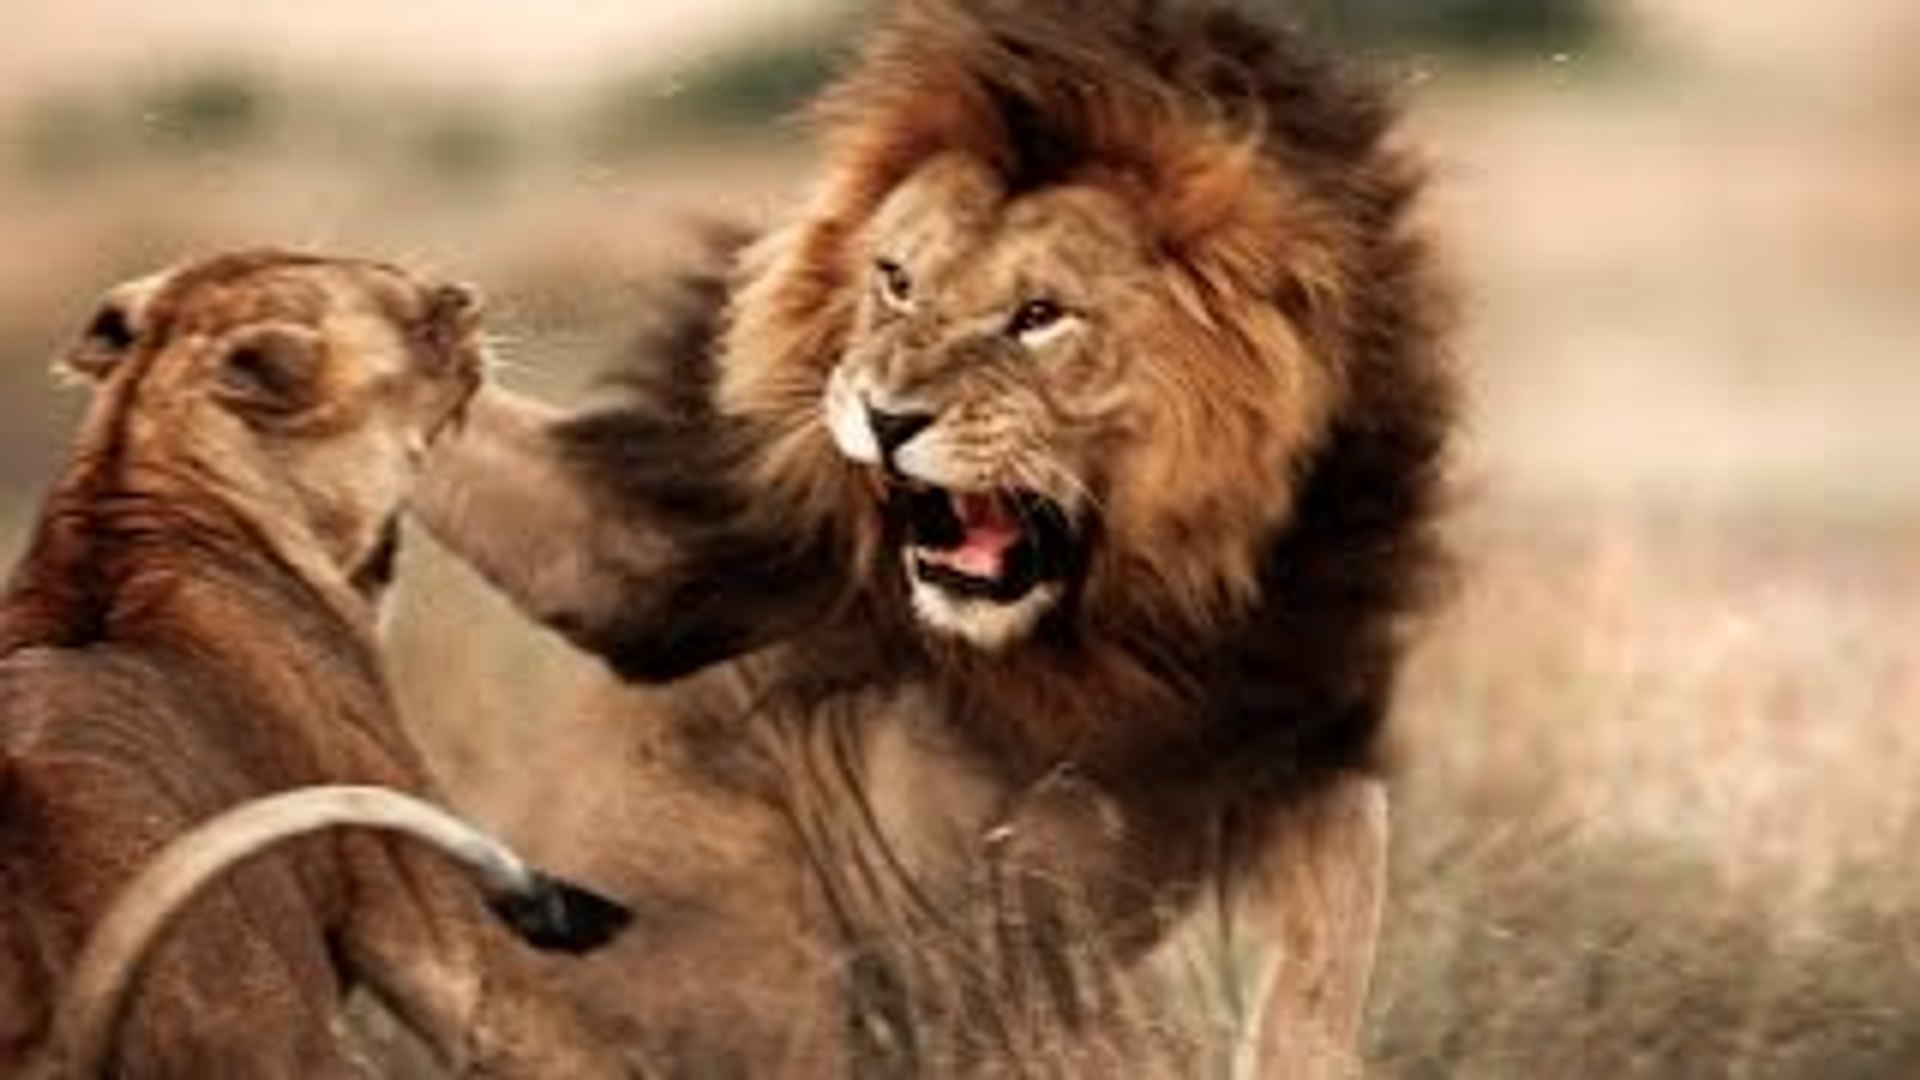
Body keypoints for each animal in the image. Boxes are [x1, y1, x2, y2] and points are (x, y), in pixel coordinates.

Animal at [418, 1, 1453, 1075]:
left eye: (1039, 315)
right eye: (897, 280)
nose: (883, 417)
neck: (1107, 633)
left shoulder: (1301, 724)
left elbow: (1324, 953)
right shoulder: (687, 564)